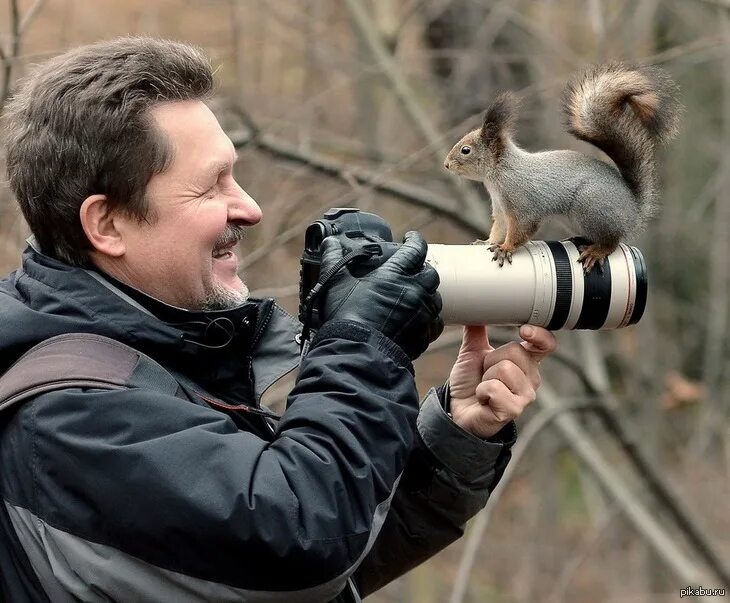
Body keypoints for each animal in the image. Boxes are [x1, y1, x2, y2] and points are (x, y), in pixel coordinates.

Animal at [440, 63, 680, 272]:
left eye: (465, 150)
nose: (446, 164)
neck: (499, 173)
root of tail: (634, 209)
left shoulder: (522, 203)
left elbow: (522, 229)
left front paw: (506, 248)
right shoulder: (500, 208)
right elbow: (499, 228)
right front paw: (487, 241)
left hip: (591, 207)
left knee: (612, 241)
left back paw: (597, 251)